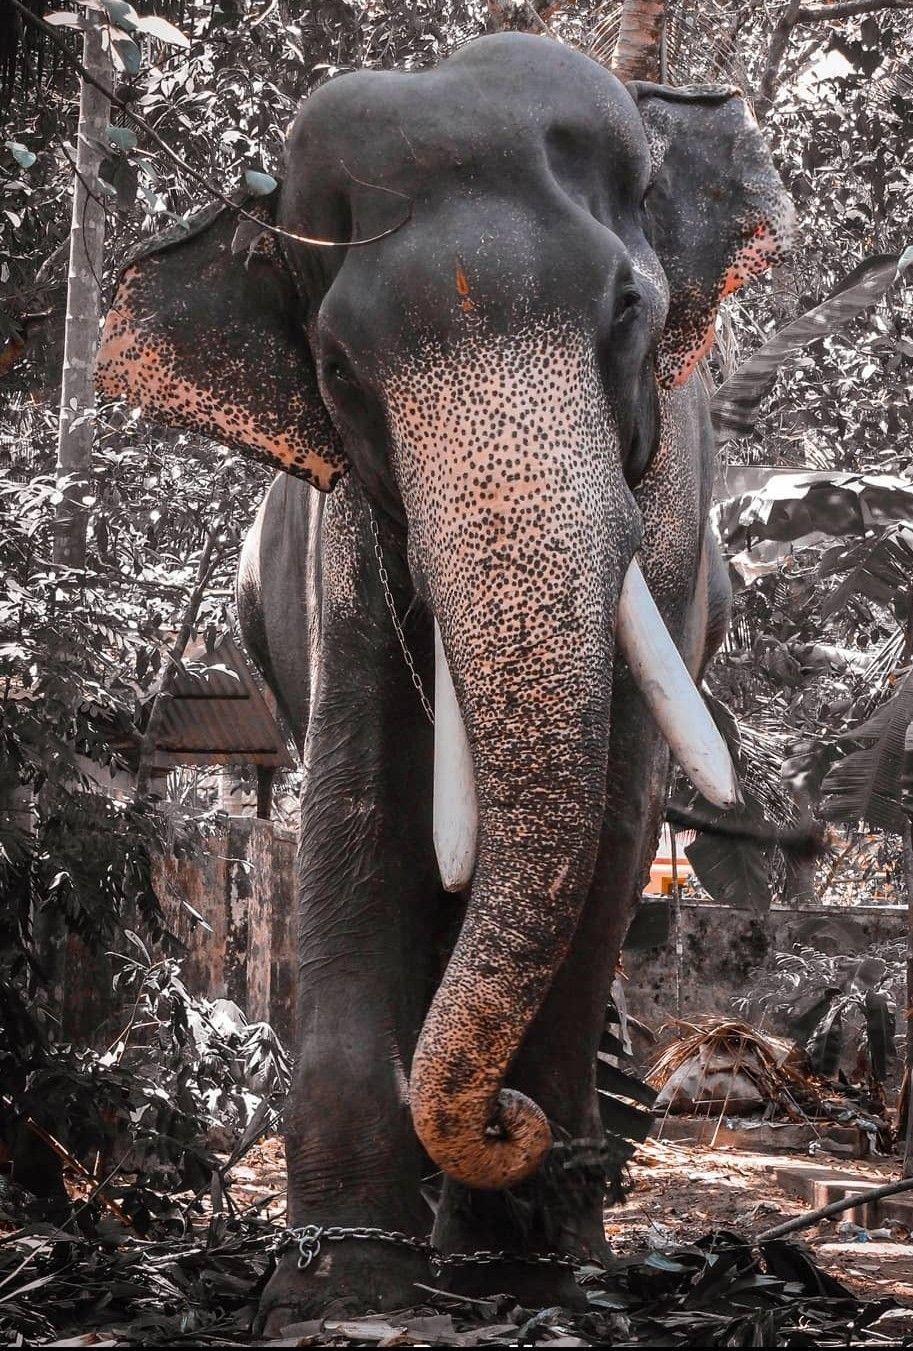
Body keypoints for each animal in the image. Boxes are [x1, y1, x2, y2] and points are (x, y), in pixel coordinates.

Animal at [97, 32, 793, 1324]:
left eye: (630, 306)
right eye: (334, 365)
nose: (521, 1132)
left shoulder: (670, 512)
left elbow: (615, 812)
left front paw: (518, 1260)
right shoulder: (342, 542)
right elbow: (361, 804)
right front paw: (345, 1285)